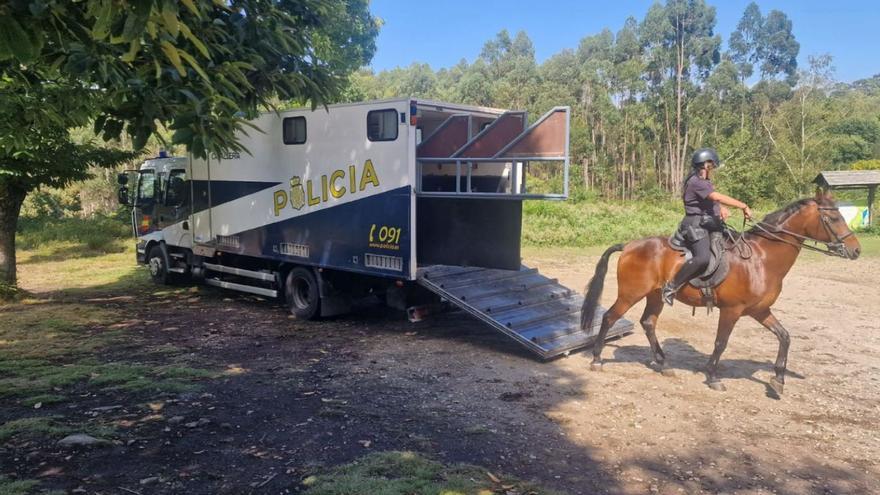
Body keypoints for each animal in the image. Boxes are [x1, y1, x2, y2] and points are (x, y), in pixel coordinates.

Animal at [580, 193, 864, 396]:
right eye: (834, 219)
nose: (856, 250)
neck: (762, 259)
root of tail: (629, 245)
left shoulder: (760, 311)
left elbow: (784, 336)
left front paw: (778, 379)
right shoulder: (732, 310)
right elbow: (721, 343)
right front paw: (713, 376)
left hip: (655, 296)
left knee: (648, 322)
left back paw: (663, 364)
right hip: (631, 294)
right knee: (609, 317)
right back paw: (597, 359)